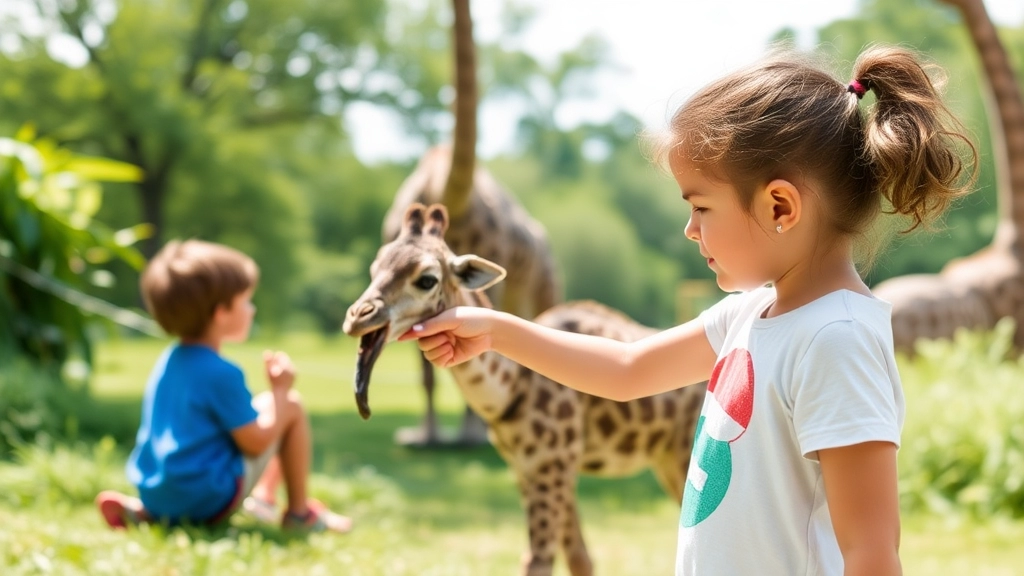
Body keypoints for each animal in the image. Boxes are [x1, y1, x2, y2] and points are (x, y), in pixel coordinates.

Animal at [344, 202, 704, 573]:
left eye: (426, 279)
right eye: (375, 268)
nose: (357, 317)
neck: (511, 391)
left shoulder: (552, 464)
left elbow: (539, 559)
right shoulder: (531, 468)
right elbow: (579, 557)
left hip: (683, 459)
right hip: (665, 459)